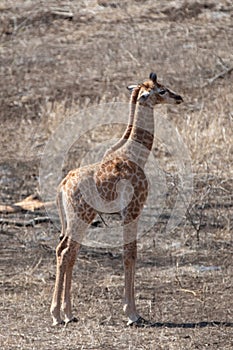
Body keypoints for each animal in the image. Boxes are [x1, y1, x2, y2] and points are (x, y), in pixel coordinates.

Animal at [50, 72, 183, 326]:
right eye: (161, 90)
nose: (179, 97)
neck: (136, 156)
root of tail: (62, 186)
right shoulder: (133, 210)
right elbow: (130, 254)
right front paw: (132, 314)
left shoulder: (124, 214)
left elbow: (128, 253)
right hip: (82, 217)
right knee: (67, 252)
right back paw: (59, 315)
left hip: (73, 220)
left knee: (64, 250)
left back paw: (65, 313)